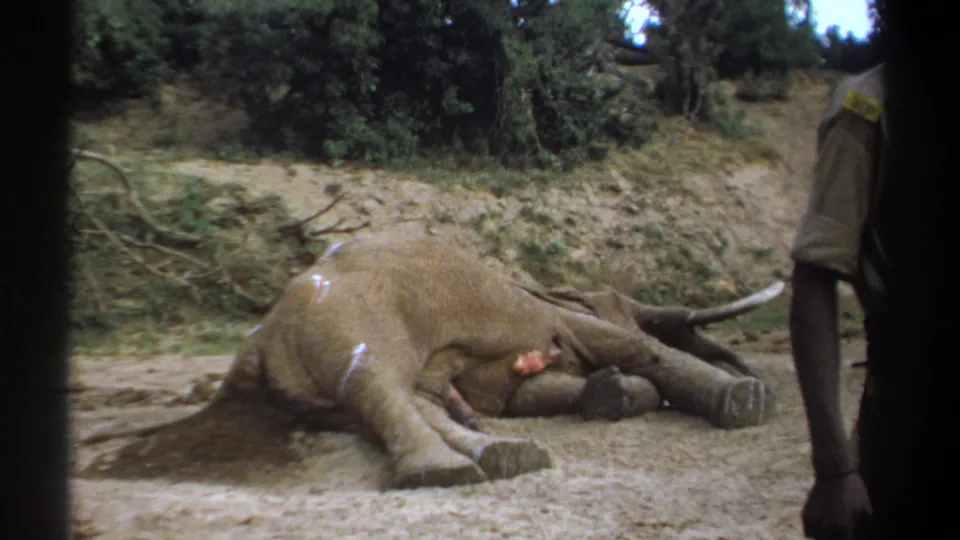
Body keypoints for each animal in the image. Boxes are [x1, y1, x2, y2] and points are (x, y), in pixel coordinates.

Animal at [79, 231, 782, 490]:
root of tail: (252, 348)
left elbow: (538, 389)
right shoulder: (541, 314)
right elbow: (626, 346)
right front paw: (747, 402)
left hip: (309, 387)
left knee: (385, 405)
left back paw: (500, 455)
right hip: (352, 322)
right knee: (379, 386)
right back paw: (448, 471)